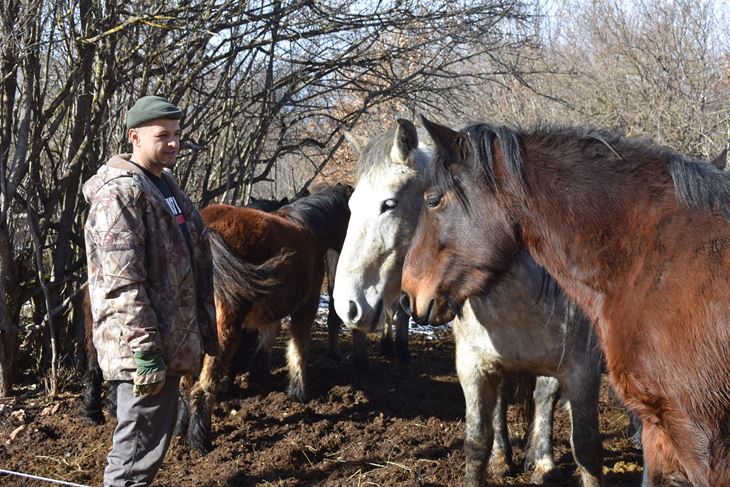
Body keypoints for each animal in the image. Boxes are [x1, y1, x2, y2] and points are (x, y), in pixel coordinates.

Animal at [185, 183, 350, 454]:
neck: (308, 227)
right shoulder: (306, 307)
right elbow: (299, 348)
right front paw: (298, 391)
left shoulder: (270, 310)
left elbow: (268, 338)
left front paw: (258, 376)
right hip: (224, 330)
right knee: (203, 385)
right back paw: (199, 440)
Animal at [332, 119, 604, 487]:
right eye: (351, 206)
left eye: (389, 203)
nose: (347, 304)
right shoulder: (473, 363)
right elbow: (479, 435)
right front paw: (498, 458)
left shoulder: (580, 369)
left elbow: (563, 419)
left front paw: (543, 462)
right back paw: (502, 457)